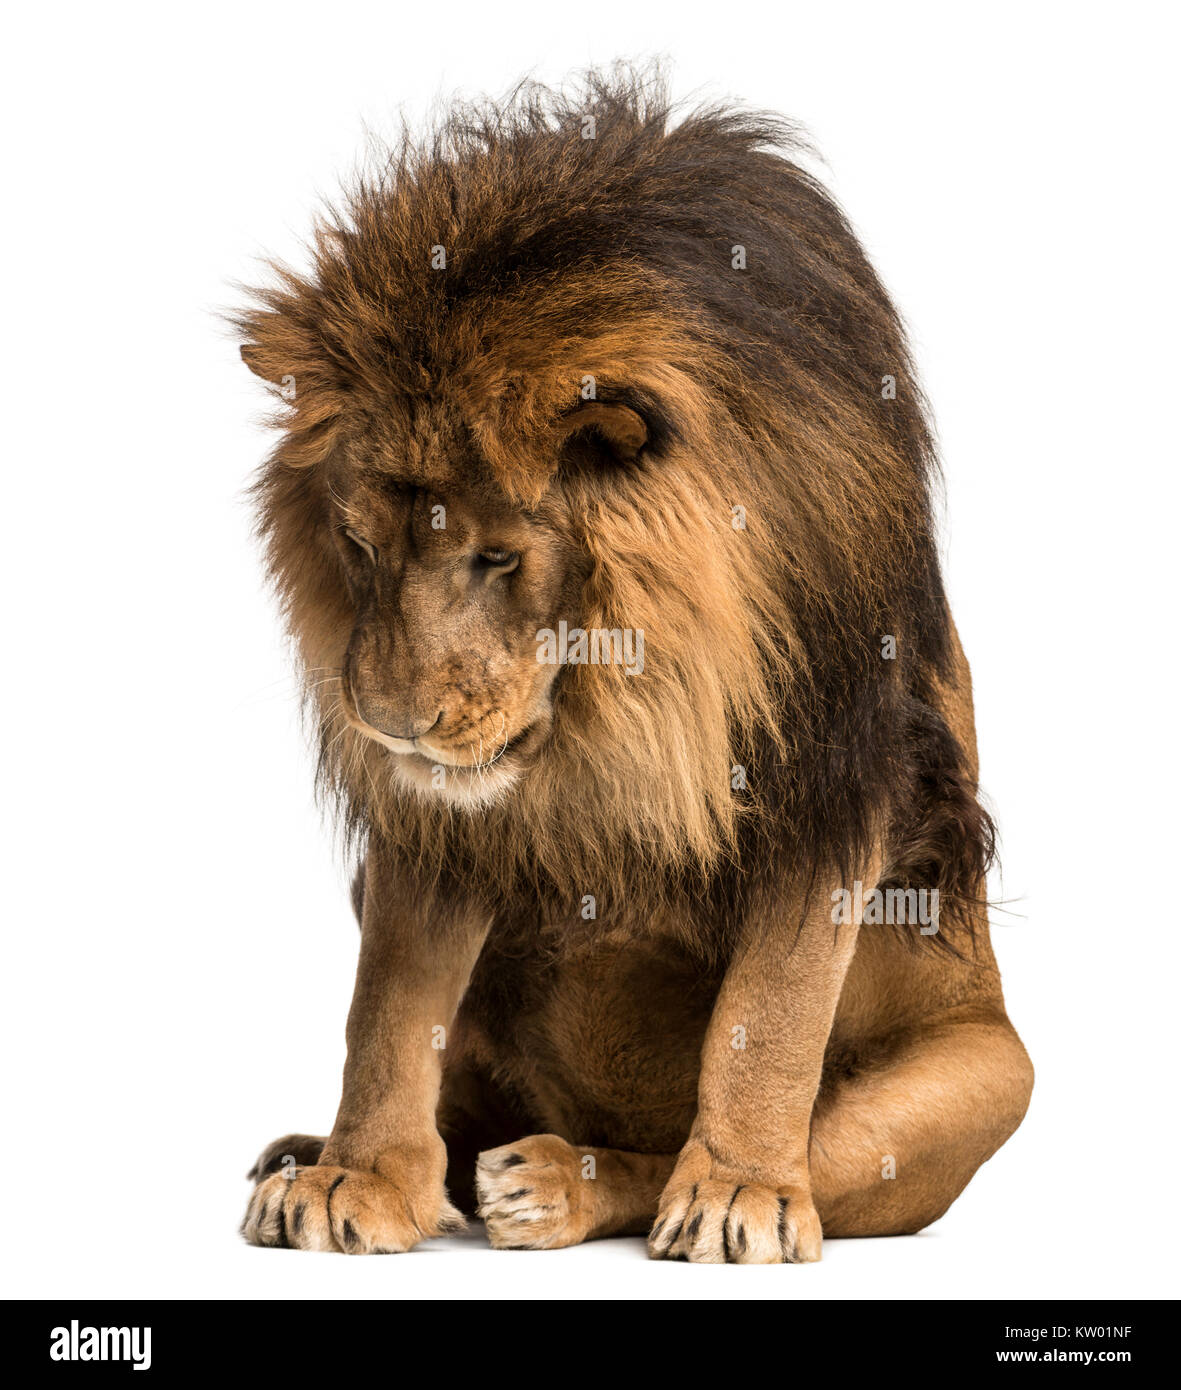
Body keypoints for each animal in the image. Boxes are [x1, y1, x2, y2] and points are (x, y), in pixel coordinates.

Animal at [236, 68, 1032, 1263]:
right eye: (358, 546)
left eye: (498, 556)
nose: (386, 725)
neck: (615, 693)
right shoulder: (436, 823)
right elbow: (390, 1003)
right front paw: (360, 1174)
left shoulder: (830, 771)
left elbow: (769, 1012)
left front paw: (738, 1192)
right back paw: (324, 1155)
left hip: (985, 1073)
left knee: (754, 1147)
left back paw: (562, 1183)